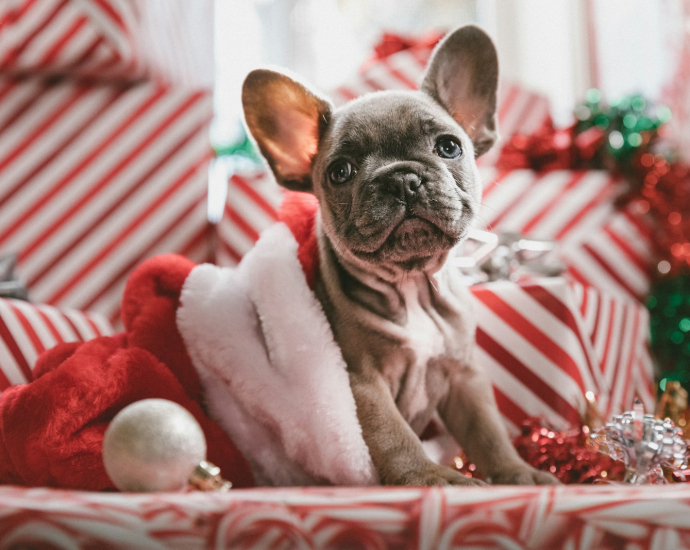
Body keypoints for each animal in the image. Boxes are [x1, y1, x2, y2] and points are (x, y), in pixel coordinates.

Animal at [239, 24, 556, 488]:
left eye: (449, 147)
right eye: (340, 172)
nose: (401, 178)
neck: (412, 285)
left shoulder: (464, 376)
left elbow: (489, 431)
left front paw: (518, 473)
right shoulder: (362, 384)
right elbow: (394, 435)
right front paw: (431, 477)